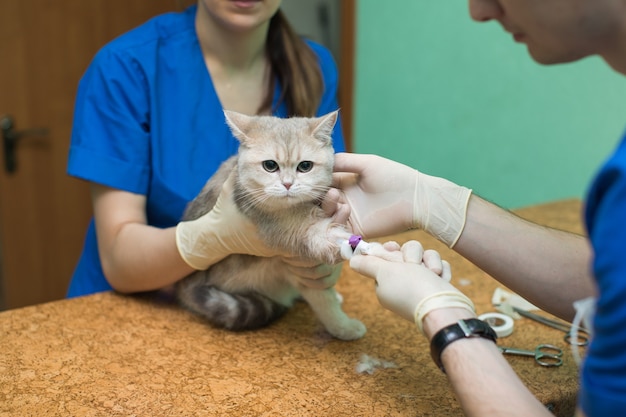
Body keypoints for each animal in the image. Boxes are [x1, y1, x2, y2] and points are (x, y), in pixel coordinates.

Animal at [173, 109, 366, 340]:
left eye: (305, 166)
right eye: (270, 165)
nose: (288, 184)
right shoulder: (291, 251)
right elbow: (322, 298)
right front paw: (343, 326)